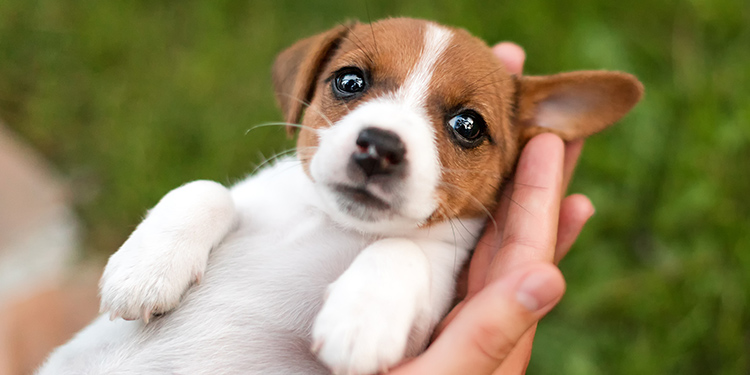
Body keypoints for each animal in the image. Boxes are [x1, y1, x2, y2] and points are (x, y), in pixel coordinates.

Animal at [38, 17, 644, 375]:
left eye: (468, 125)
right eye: (349, 81)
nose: (380, 146)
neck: (337, 225)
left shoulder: (426, 320)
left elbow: (400, 250)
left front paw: (361, 320)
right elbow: (208, 189)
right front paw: (146, 267)